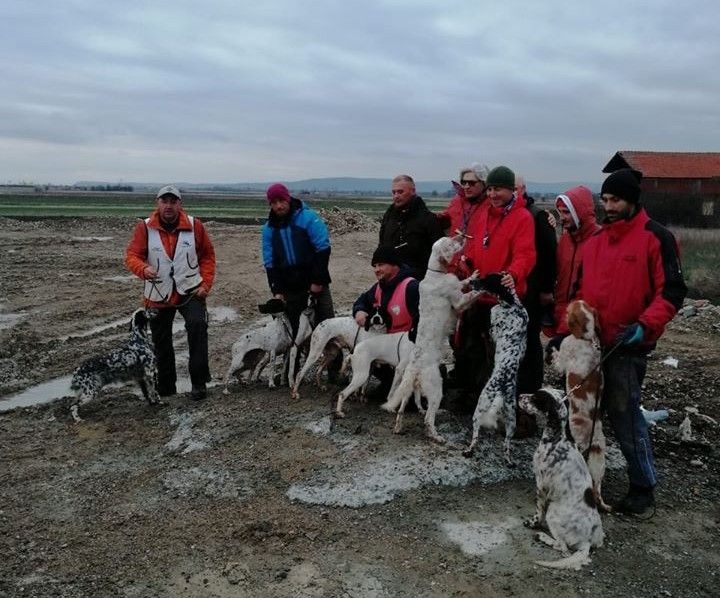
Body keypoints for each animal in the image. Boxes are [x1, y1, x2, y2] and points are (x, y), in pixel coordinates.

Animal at [380, 234, 480, 446]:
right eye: (450, 242)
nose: (461, 236)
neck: (435, 274)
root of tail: (415, 369)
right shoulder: (459, 302)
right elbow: (471, 293)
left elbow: (464, 281)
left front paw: (473, 275)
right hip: (436, 390)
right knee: (427, 419)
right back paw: (436, 436)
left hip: (408, 389)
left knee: (401, 410)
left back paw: (399, 427)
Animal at [520, 390, 604, 572]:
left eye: (535, 398)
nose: (520, 395)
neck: (557, 440)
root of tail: (586, 542)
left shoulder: (541, 485)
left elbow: (538, 512)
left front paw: (533, 523)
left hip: (552, 513)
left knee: (562, 547)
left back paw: (542, 536)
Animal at [548, 302, 612, 512]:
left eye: (569, 309)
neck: (587, 337)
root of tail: (593, 440)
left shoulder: (564, 356)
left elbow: (558, 359)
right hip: (599, 462)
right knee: (597, 486)